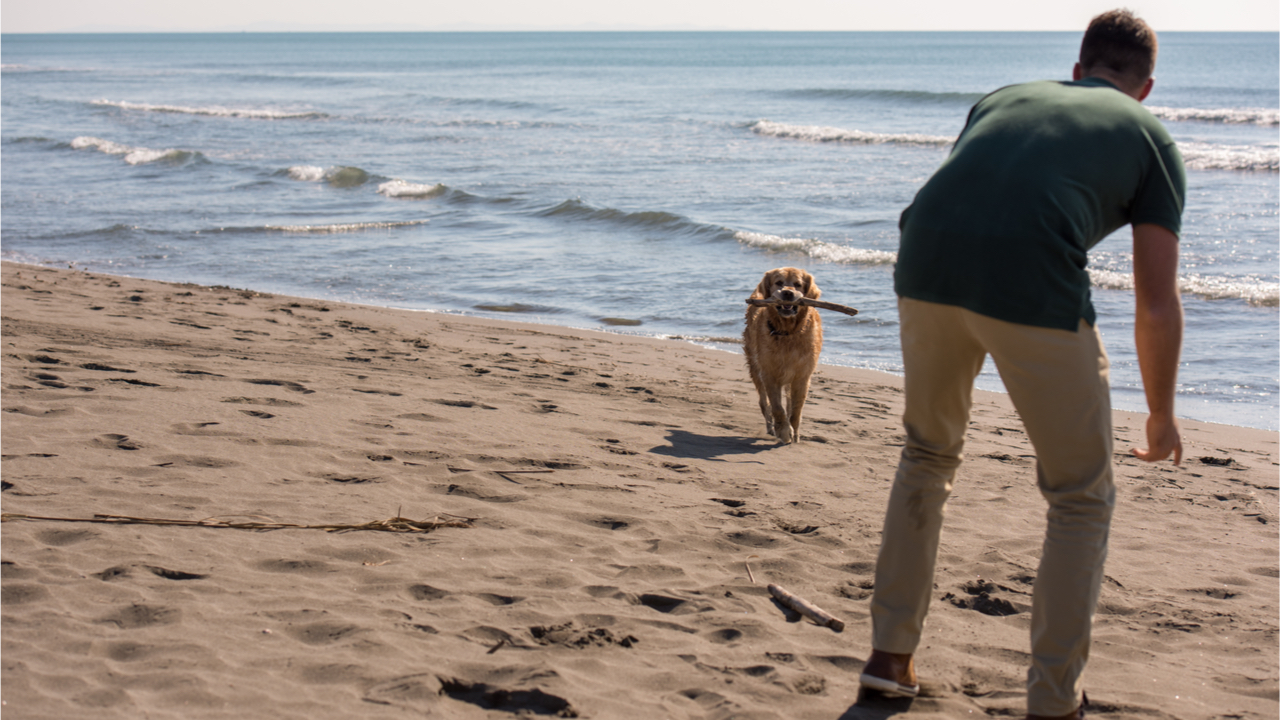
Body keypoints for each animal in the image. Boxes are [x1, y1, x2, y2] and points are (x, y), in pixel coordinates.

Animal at [747, 266, 824, 440]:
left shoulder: (802, 376)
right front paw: (782, 430)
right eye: (779, 282)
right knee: (764, 402)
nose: (788, 293)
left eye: (798, 284)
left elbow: (795, 410)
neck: (788, 332)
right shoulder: (768, 373)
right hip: (754, 366)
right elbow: (776, 407)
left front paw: (794, 433)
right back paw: (771, 427)